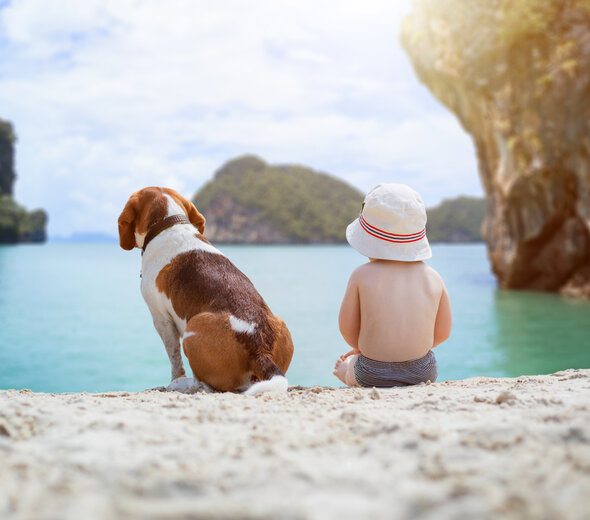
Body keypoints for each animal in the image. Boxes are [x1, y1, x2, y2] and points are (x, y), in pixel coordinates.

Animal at [118, 187, 296, 394]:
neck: (169, 224)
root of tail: (260, 349)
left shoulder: (160, 317)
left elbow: (174, 357)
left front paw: (176, 378)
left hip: (192, 330)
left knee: (207, 385)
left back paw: (182, 384)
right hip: (280, 323)